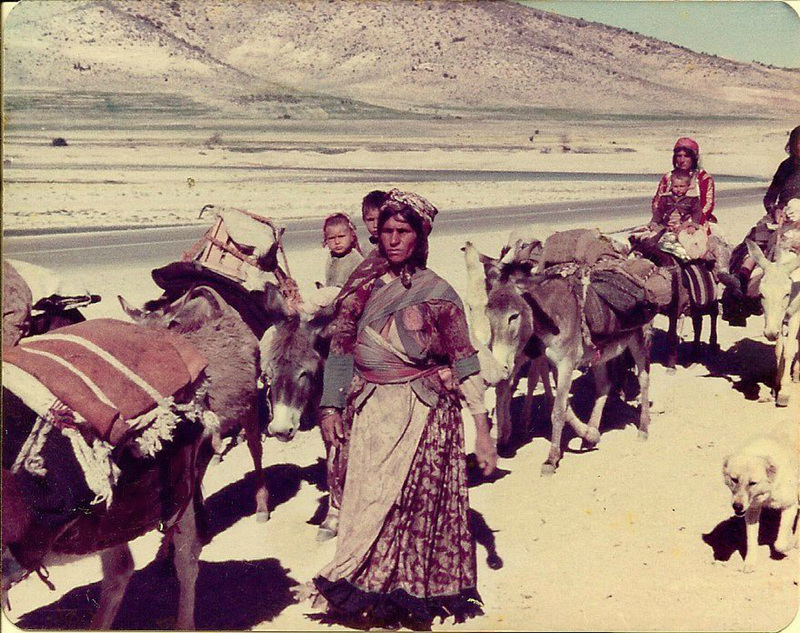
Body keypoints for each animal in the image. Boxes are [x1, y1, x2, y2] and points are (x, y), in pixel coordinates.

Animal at [720, 432, 796, 572]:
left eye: (752, 483)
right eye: (734, 479)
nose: (737, 506)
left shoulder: (790, 505)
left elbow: (780, 543)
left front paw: (790, 544)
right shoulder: (752, 510)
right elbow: (751, 540)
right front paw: (750, 562)